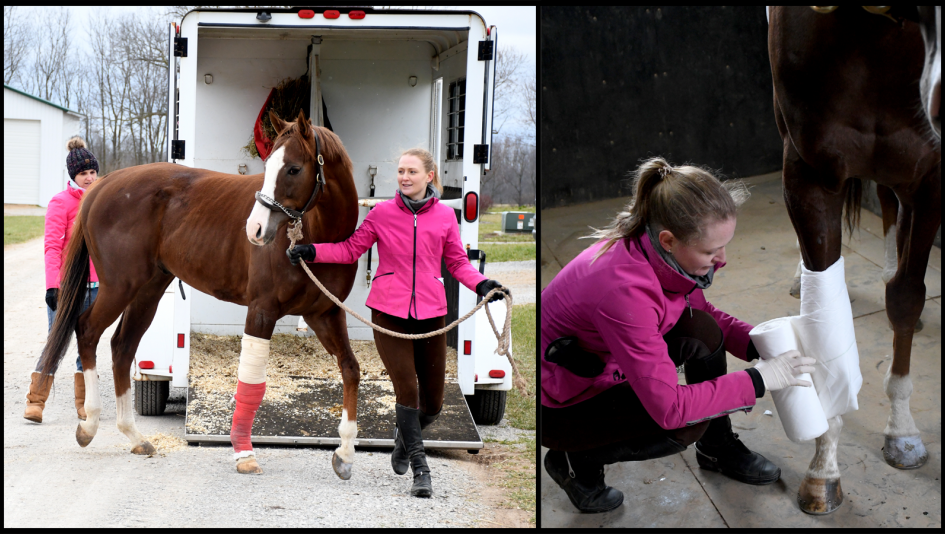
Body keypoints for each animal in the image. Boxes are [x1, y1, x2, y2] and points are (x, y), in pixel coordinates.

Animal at [38, 111, 362, 480]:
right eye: (268, 165)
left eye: (293, 168)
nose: (255, 229)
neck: (319, 238)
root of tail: (103, 185)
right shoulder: (262, 311)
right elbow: (251, 383)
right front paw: (243, 452)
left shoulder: (325, 314)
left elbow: (351, 369)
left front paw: (345, 453)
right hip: (119, 287)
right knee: (88, 331)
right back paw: (90, 424)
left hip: (148, 291)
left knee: (122, 347)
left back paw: (134, 436)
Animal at [772, 4, 940, 516]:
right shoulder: (808, 171)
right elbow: (822, 314)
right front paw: (823, 468)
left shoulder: (931, 175)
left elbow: (906, 297)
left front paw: (902, 431)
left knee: (887, 201)